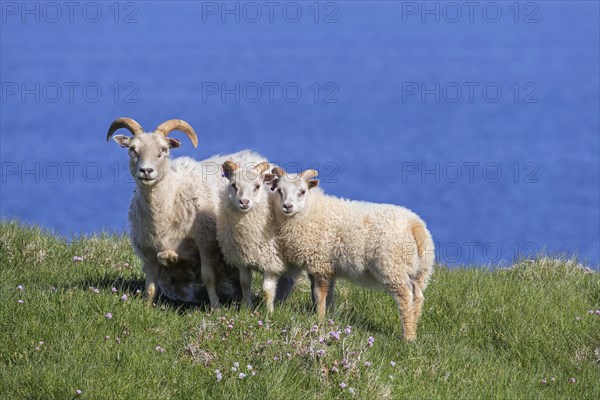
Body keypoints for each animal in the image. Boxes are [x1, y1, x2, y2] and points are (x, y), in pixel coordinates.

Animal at [106, 116, 262, 306]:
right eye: (132, 149)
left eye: (164, 150)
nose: (146, 171)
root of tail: (252, 155)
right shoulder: (148, 252)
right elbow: (150, 286)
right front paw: (146, 307)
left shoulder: (206, 243)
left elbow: (208, 277)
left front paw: (216, 307)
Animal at [216, 159, 300, 312]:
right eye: (234, 185)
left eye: (257, 186)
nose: (244, 202)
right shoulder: (242, 259)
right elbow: (244, 283)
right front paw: (247, 308)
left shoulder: (271, 261)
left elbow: (266, 289)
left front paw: (269, 312)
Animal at [270, 167, 434, 342]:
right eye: (279, 190)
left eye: (302, 192)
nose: (287, 206)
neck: (311, 209)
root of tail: (415, 226)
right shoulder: (328, 266)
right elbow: (329, 294)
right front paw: (329, 315)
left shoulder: (320, 262)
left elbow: (319, 294)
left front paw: (319, 318)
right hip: (421, 271)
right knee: (418, 297)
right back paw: (415, 325)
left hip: (392, 268)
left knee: (405, 299)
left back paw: (408, 337)